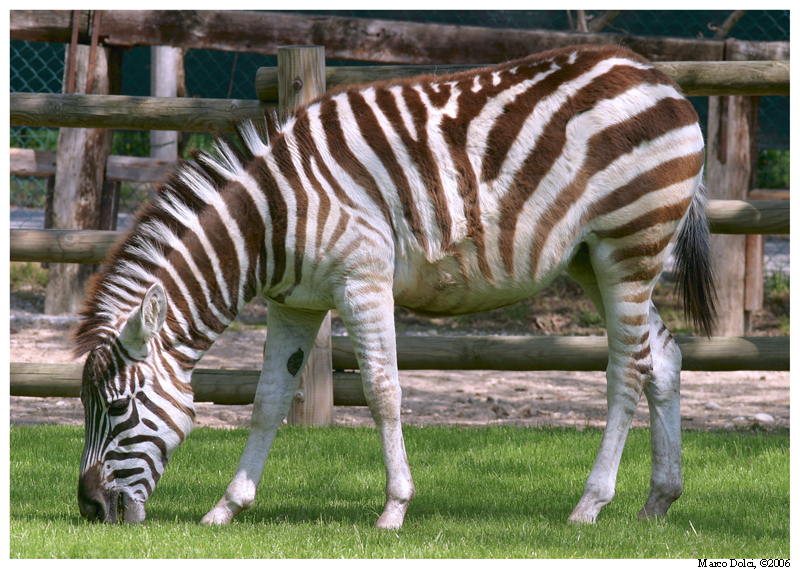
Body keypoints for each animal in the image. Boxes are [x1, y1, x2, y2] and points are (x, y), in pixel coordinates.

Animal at [75, 43, 715, 528]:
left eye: (118, 406)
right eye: (86, 407)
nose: (89, 509)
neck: (270, 219)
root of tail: (656, 74)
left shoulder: (363, 280)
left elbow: (382, 391)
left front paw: (394, 510)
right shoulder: (293, 305)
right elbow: (267, 402)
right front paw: (225, 509)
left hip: (628, 246)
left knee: (627, 371)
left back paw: (589, 505)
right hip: (594, 258)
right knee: (662, 357)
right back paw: (659, 500)